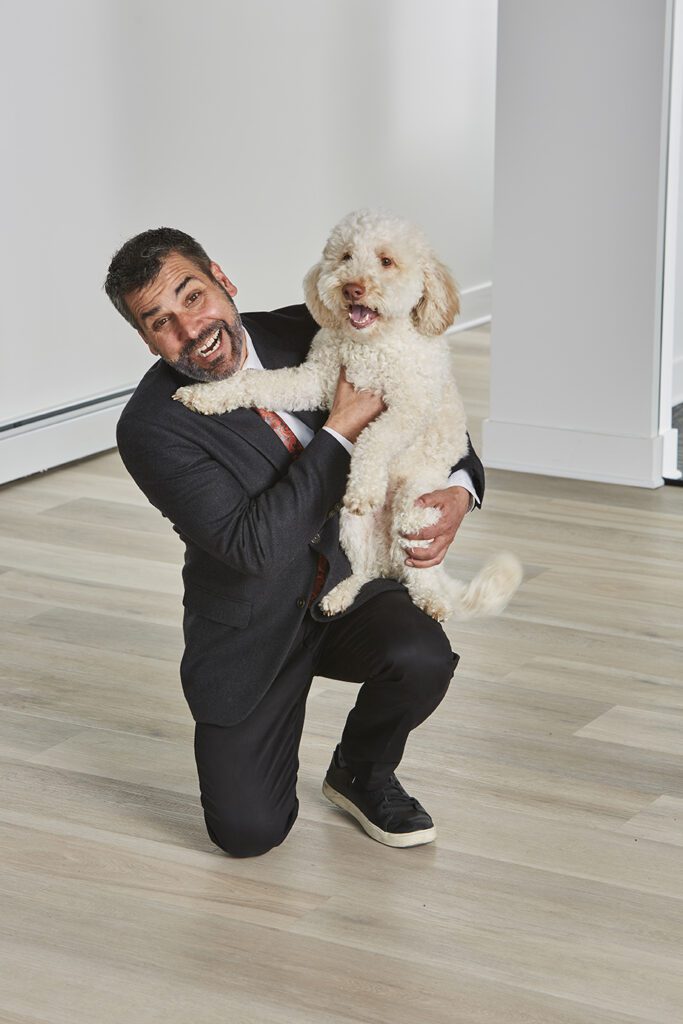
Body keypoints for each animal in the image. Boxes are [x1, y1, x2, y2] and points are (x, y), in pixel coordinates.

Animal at [175, 211, 524, 618]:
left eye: (386, 261)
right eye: (344, 256)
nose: (352, 289)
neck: (370, 345)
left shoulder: (409, 406)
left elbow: (374, 438)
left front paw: (364, 487)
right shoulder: (315, 379)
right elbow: (255, 381)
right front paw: (204, 395)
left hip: (420, 505)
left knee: (415, 562)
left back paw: (432, 599)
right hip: (352, 528)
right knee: (365, 570)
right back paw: (339, 595)